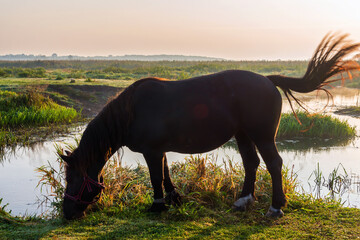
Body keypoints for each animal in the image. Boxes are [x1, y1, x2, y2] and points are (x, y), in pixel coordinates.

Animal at [60, 33, 358, 219]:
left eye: (72, 179)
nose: (66, 214)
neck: (132, 111)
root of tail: (267, 79)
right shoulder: (159, 150)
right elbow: (166, 175)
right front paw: (174, 199)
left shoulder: (152, 152)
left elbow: (156, 177)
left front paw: (157, 206)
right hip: (243, 134)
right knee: (251, 163)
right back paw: (243, 200)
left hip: (262, 135)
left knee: (273, 164)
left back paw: (275, 207)